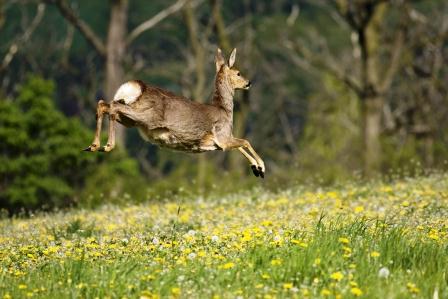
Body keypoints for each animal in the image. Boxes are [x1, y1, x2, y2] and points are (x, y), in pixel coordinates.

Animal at [83, 47, 264, 178]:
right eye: (238, 73)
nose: (249, 82)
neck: (224, 110)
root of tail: (135, 87)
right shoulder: (223, 136)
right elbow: (245, 141)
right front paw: (261, 167)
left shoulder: (222, 141)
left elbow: (240, 146)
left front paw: (255, 168)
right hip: (146, 116)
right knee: (112, 106)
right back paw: (107, 146)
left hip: (130, 120)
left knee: (103, 104)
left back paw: (93, 146)